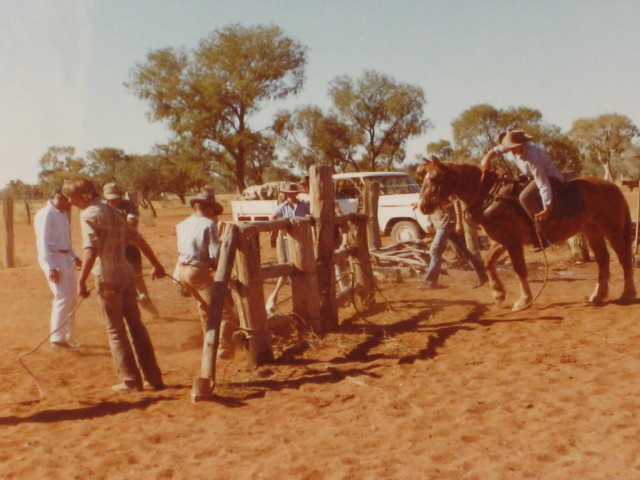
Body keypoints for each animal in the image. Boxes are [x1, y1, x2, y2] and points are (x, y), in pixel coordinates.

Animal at [416, 158, 636, 312]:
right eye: (423, 178)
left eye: (435, 178)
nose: (423, 206)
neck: (493, 196)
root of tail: (612, 186)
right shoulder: (502, 240)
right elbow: (488, 262)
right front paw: (498, 294)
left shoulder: (513, 242)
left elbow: (519, 269)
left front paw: (523, 300)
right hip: (592, 230)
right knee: (603, 259)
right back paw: (598, 295)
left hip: (613, 230)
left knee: (624, 259)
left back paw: (628, 293)